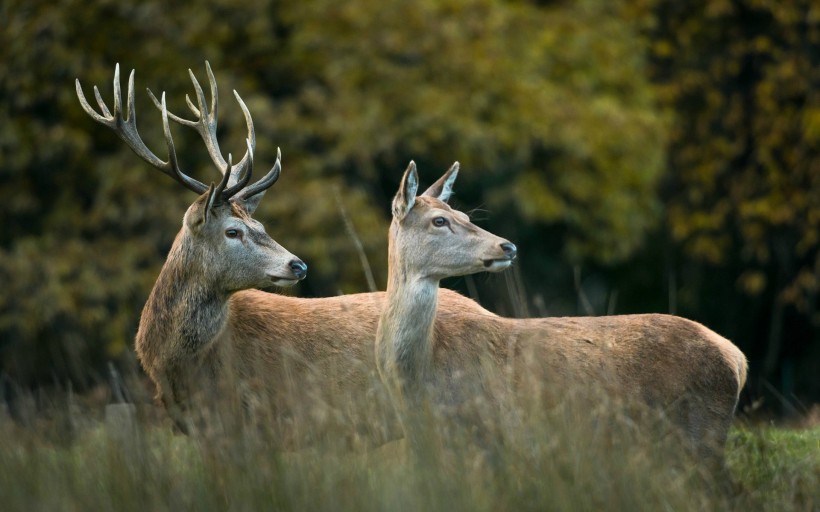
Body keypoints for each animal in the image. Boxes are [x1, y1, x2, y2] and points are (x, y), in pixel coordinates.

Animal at [374, 163, 748, 472]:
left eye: (466, 215)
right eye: (440, 220)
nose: (507, 246)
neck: (419, 372)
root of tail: (736, 357)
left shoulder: (489, 433)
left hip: (701, 433)